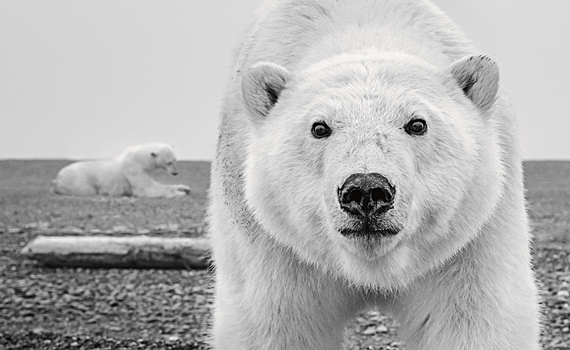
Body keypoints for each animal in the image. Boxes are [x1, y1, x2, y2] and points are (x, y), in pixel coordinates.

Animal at [51, 142, 189, 197]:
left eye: (175, 160)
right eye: (168, 162)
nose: (175, 173)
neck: (139, 158)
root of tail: (57, 179)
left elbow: (155, 184)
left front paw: (184, 188)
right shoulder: (133, 169)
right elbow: (146, 189)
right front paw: (178, 193)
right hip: (79, 181)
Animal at [207, 0, 536, 350]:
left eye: (417, 123)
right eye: (319, 127)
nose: (366, 190)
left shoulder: (472, 240)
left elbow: (475, 320)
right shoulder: (274, 247)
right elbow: (276, 324)